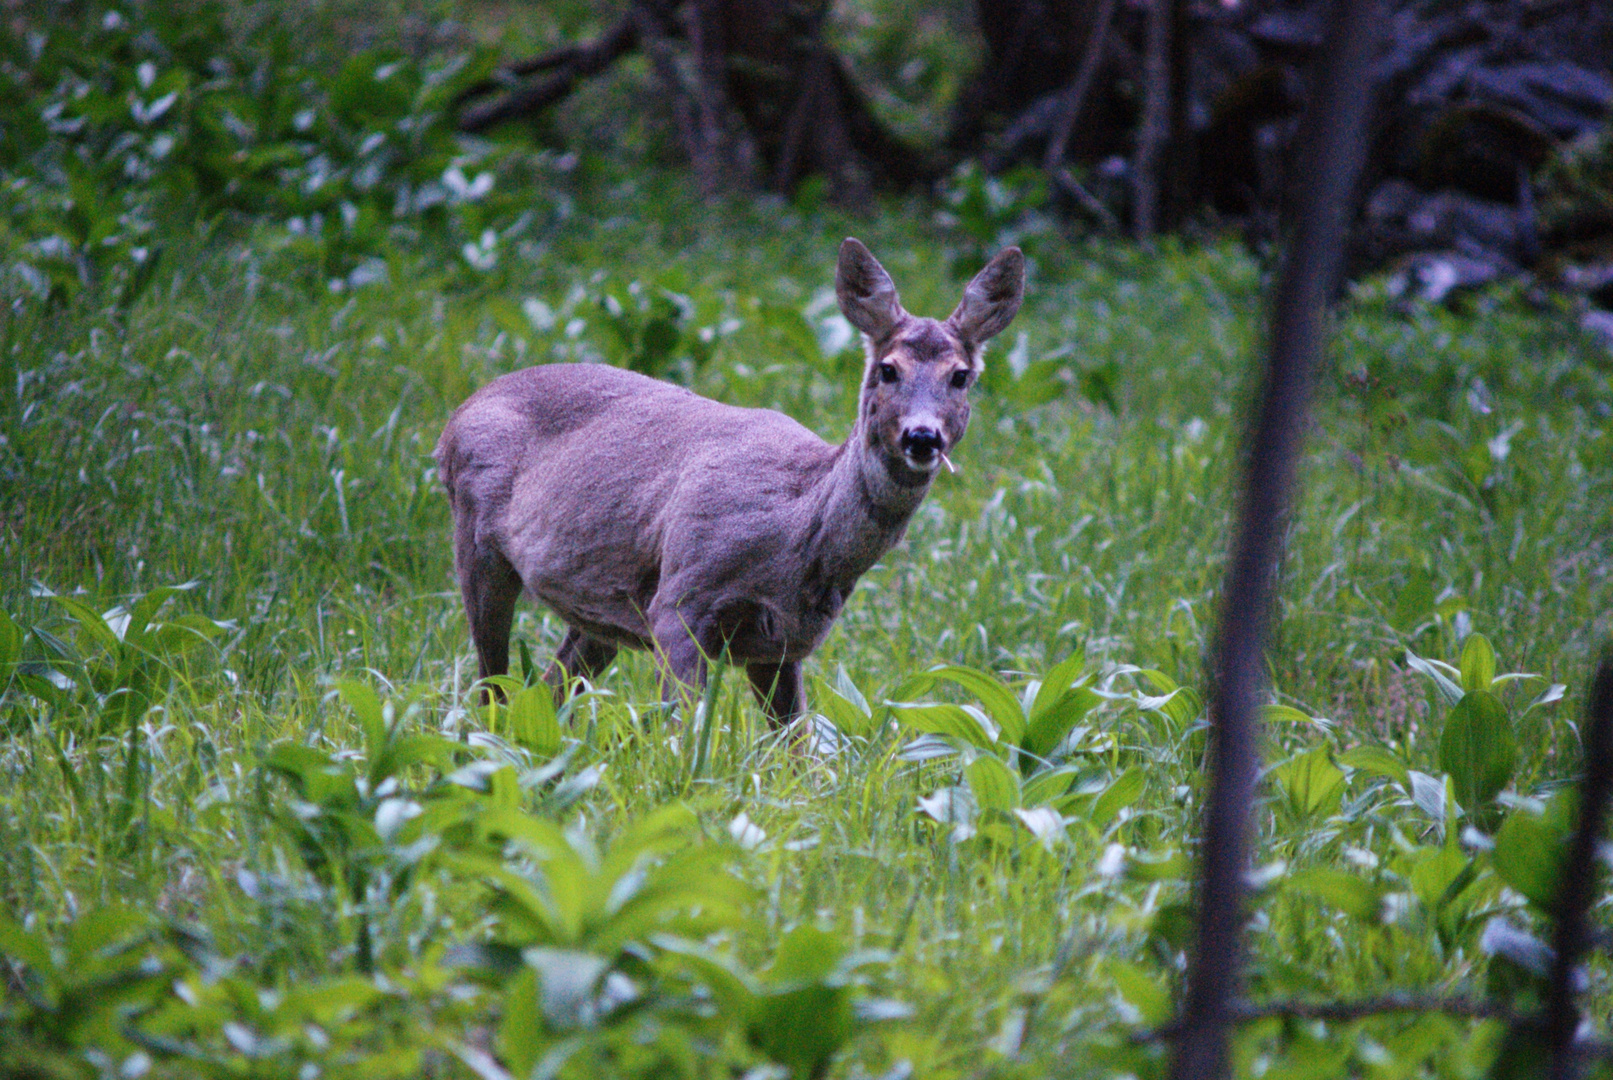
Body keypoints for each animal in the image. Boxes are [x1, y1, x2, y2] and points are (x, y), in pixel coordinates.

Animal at [435, 236, 1025, 728]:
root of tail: (452, 422)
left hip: (604, 606)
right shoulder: (680, 599)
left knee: (549, 688)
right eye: (888, 368)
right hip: (478, 541)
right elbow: (681, 732)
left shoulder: (780, 644)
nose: (922, 436)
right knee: (490, 686)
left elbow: (795, 750)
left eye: (961, 376)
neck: (800, 533)